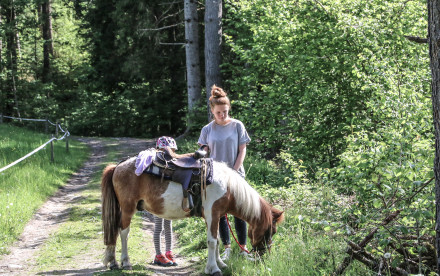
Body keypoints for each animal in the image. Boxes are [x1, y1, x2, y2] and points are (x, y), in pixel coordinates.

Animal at [100, 156, 286, 274]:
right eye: (271, 231)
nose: (264, 256)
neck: (227, 186)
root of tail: (118, 166)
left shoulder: (215, 216)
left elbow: (217, 240)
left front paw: (220, 264)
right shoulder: (212, 213)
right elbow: (212, 242)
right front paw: (213, 269)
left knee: (115, 232)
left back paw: (113, 262)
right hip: (128, 208)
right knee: (123, 232)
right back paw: (125, 262)